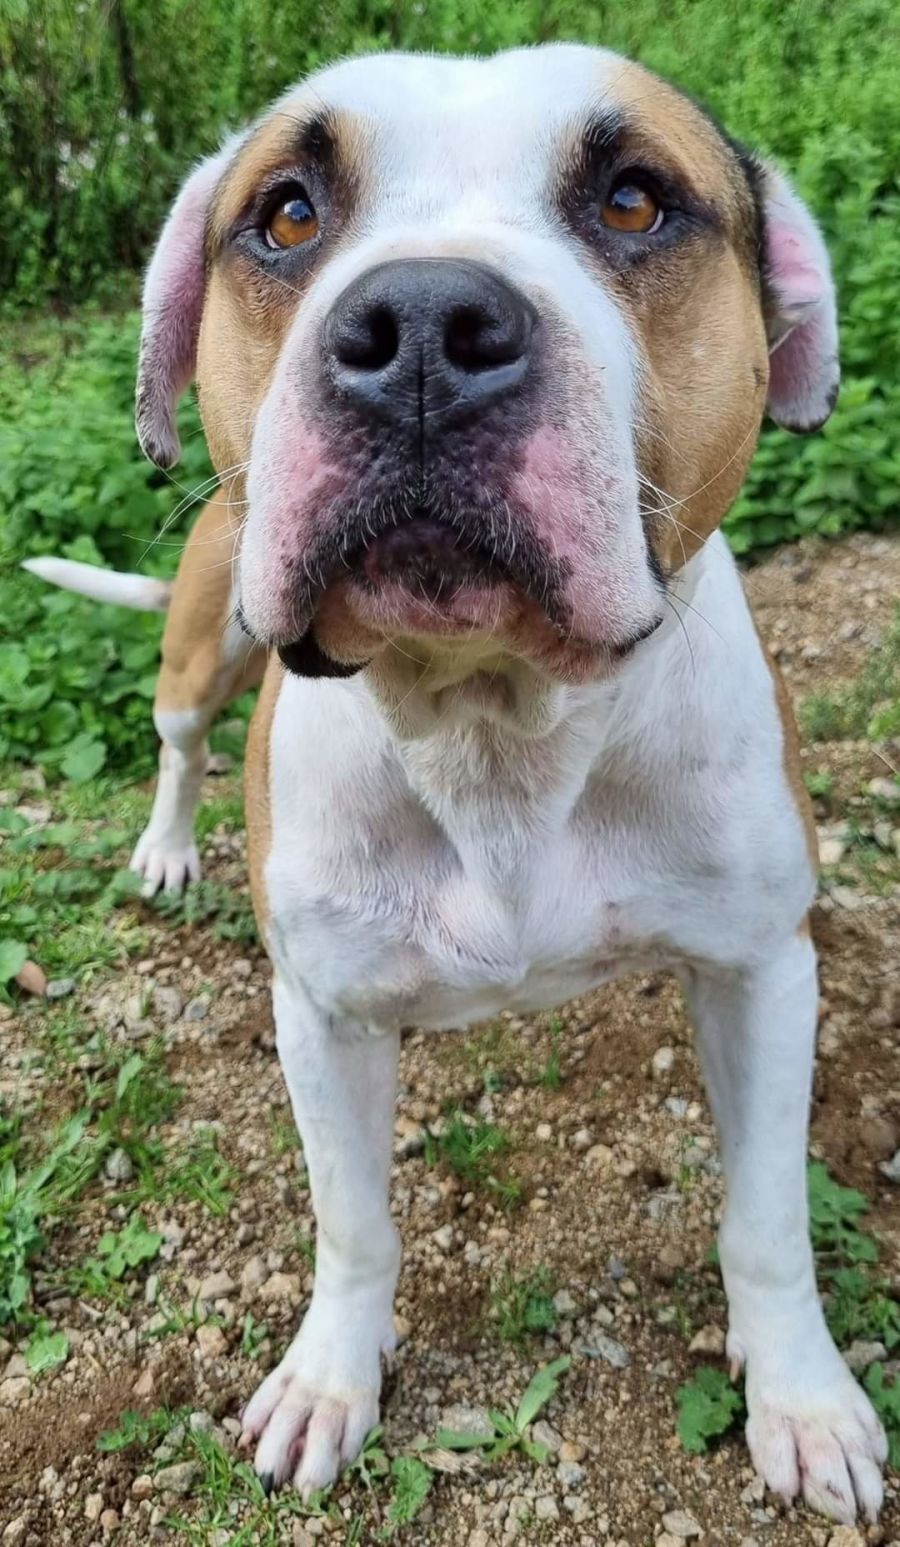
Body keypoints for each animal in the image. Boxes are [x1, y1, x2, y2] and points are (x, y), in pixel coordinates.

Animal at [26, 44, 887, 1524]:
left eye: (635, 199)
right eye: (288, 215)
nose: (423, 320)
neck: (494, 718)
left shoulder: (765, 968)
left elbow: (769, 1216)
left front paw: (804, 1398)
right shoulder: (320, 1012)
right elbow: (352, 1220)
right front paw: (329, 1378)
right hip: (203, 640)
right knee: (180, 736)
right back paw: (167, 848)